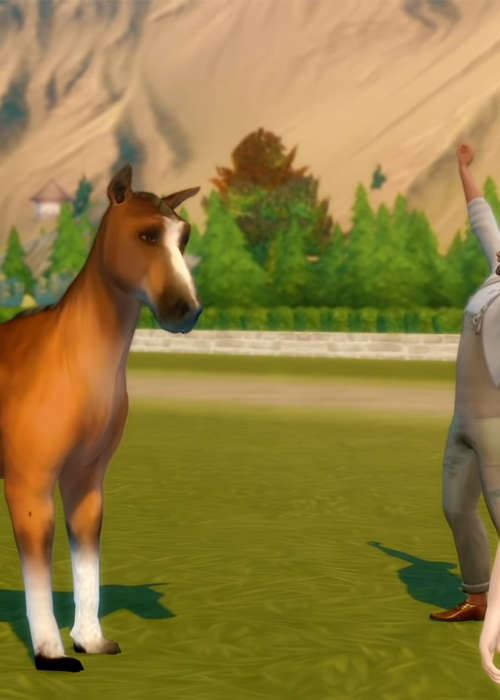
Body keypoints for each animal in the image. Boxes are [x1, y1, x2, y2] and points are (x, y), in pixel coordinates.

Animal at [0, 164, 202, 672]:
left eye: (184, 237)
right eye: (147, 234)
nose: (187, 311)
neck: (69, 361)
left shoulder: (86, 479)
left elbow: (86, 558)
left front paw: (90, 638)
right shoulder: (30, 483)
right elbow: (38, 564)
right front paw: (50, 652)